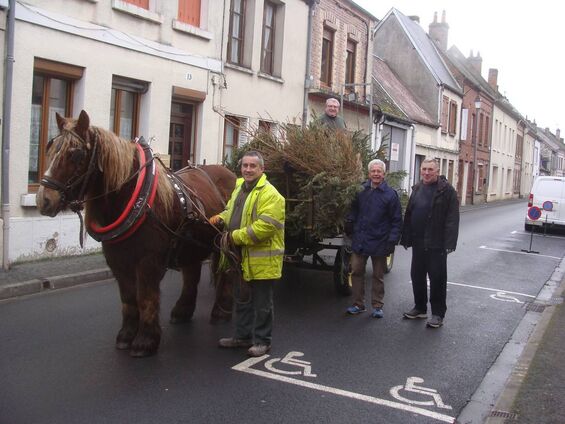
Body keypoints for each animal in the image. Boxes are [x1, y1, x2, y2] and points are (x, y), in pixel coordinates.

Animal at [37, 110, 236, 358]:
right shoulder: (118, 261)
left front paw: (145, 341)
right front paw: (126, 335)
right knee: (191, 274)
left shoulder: (149, 261)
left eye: (76, 154)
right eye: (50, 147)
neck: (136, 199)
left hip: (223, 242)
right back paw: (182, 311)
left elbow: (146, 297)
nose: (44, 200)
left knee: (225, 272)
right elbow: (129, 298)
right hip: (191, 242)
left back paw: (221, 311)